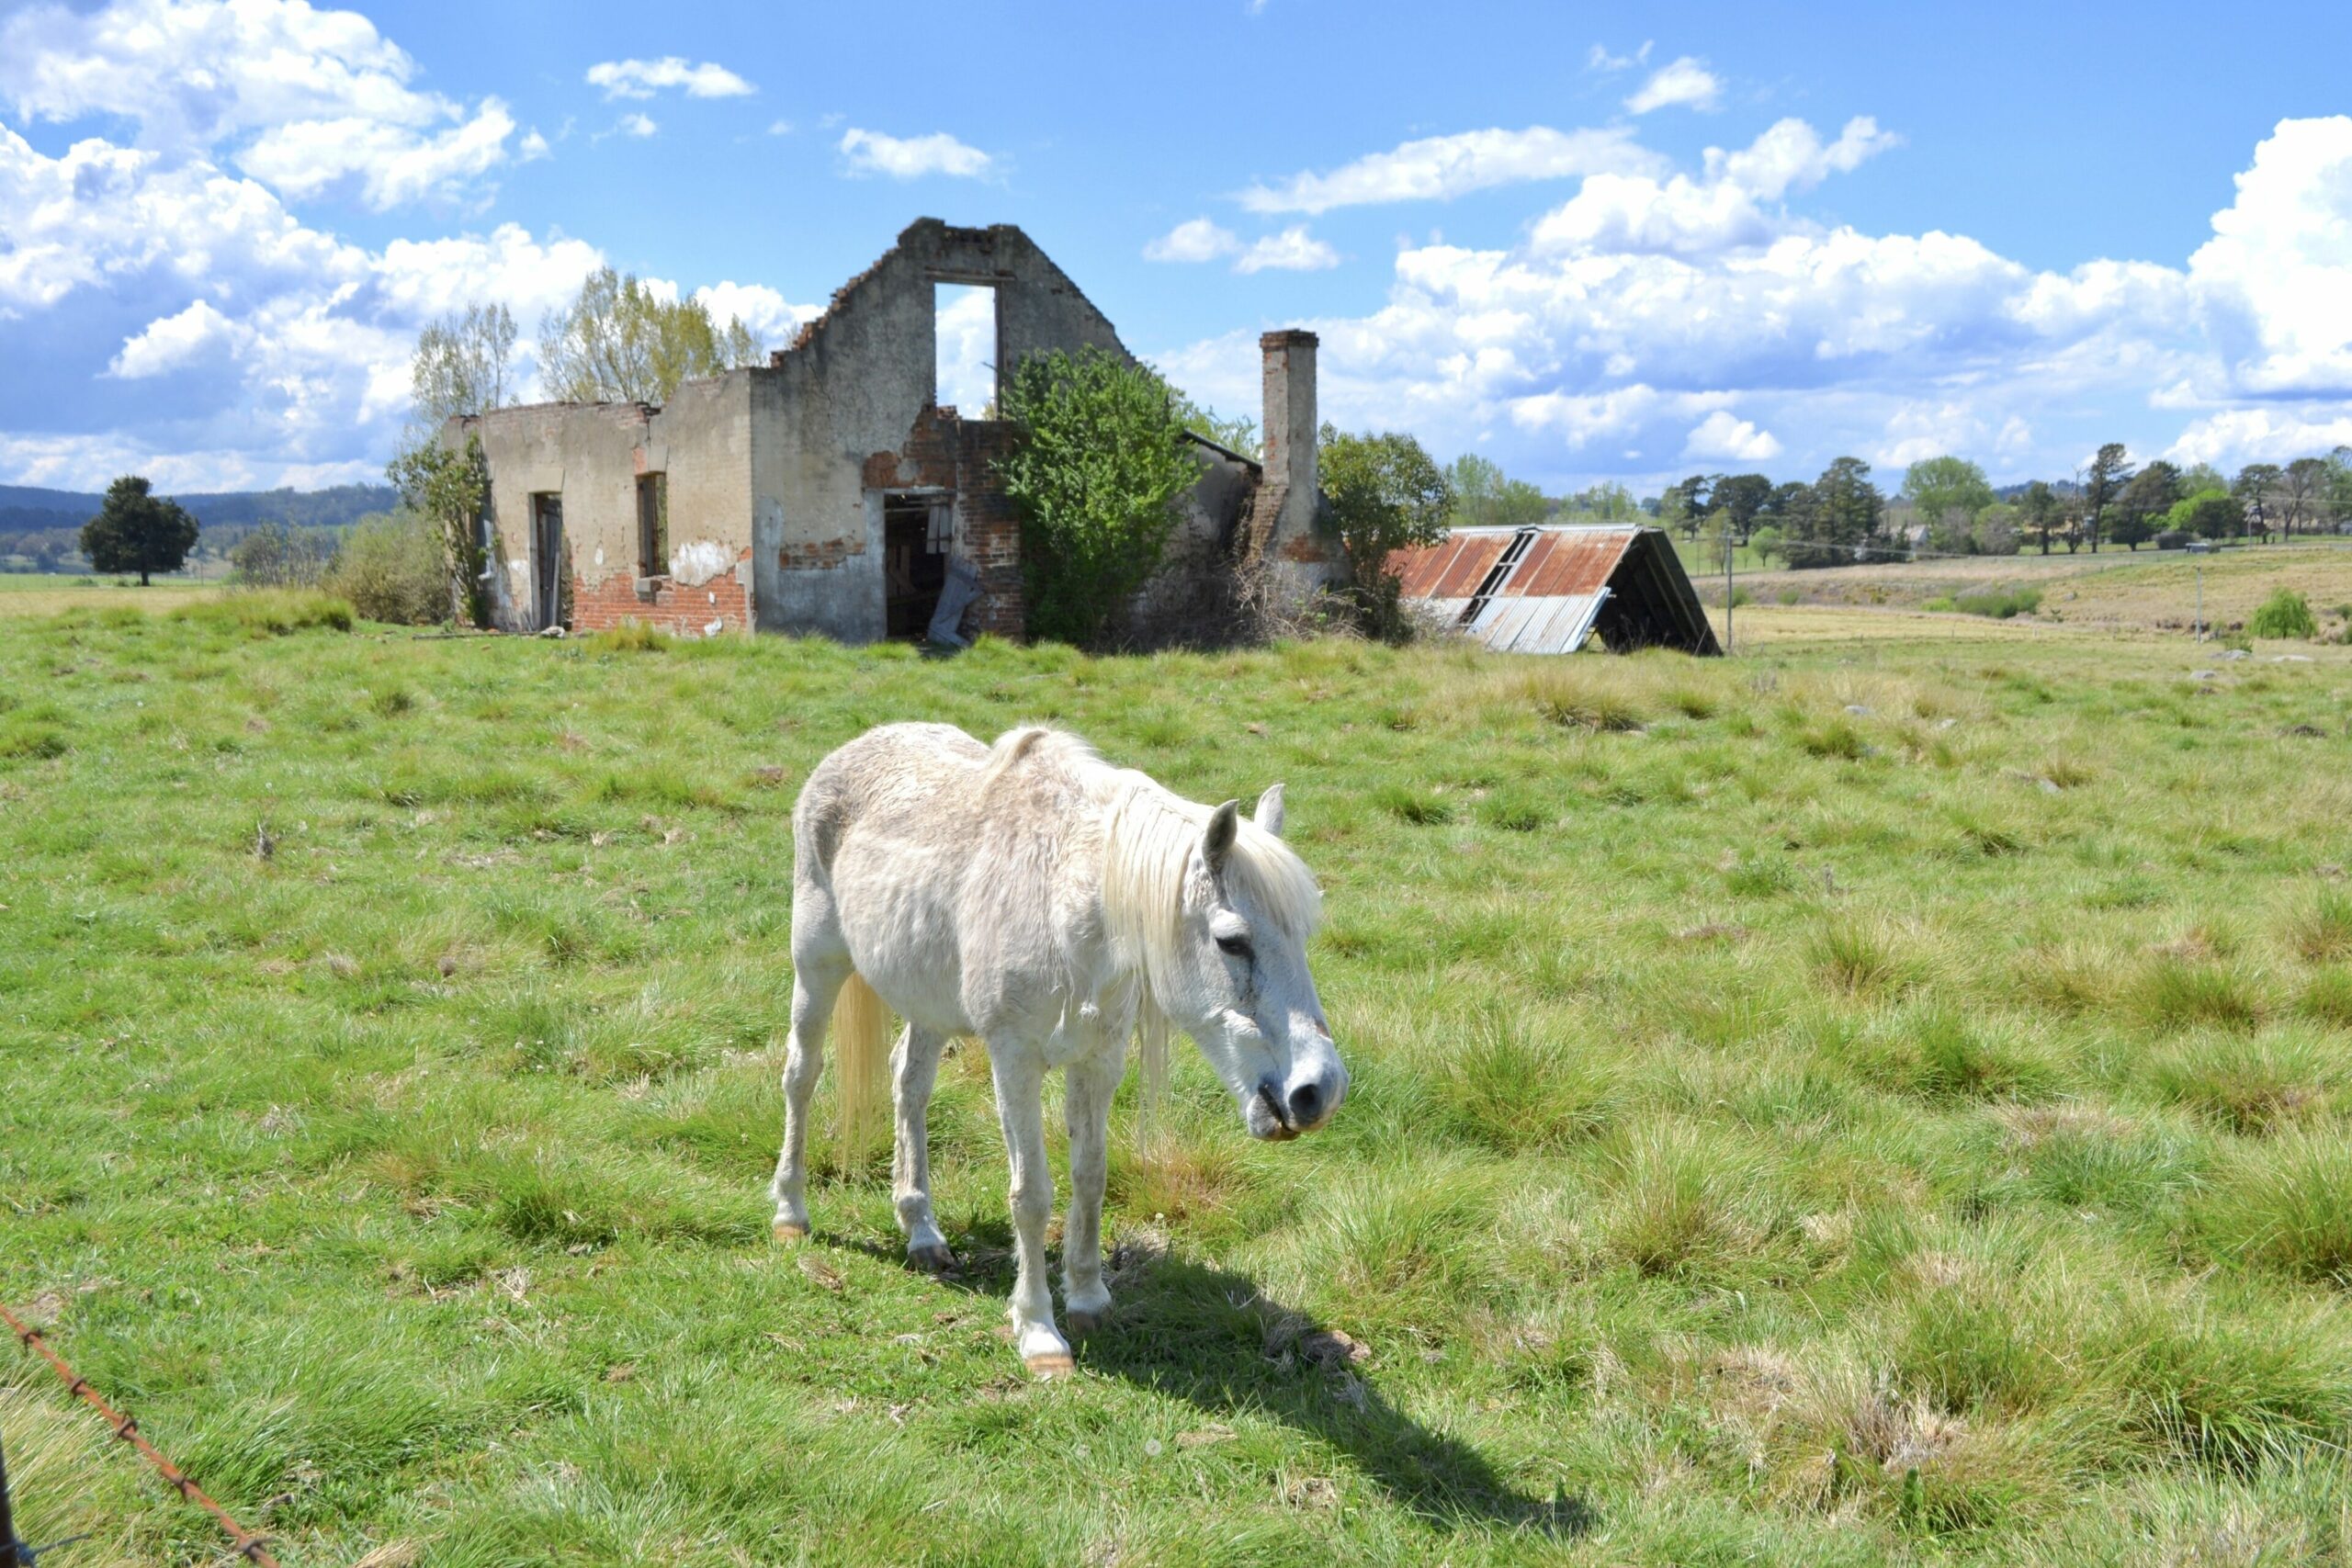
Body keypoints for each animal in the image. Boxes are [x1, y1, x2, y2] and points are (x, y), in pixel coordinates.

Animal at [771, 724, 1345, 1372]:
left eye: (1301, 936)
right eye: (1232, 942)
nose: (1319, 1090)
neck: (1064, 908)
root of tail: (852, 748)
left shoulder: (1099, 1063)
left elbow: (1090, 1177)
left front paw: (1090, 1298)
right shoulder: (1014, 1062)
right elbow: (1032, 1195)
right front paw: (1039, 1332)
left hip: (927, 999)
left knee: (908, 1086)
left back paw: (921, 1231)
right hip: (817, 964)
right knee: (802, 1074)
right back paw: (790, 1212)